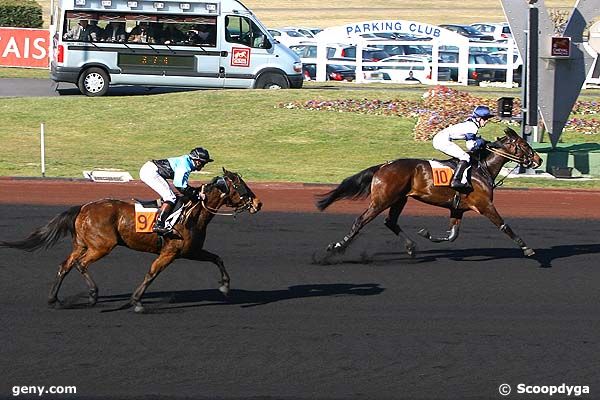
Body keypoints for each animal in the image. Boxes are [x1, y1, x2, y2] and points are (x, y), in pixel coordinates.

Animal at [0, 167, 262, 310]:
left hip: (82, 244)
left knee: (64, 265)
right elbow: (152, 273)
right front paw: (136, 301)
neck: (192, 213)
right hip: (101, 246)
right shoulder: (170, 252)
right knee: (80, 264)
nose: (258, 203)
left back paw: (54, 298)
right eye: (240, 185)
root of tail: (83, 207)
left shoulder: (191, 251)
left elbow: (217, 258)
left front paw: (225, 286)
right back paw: (93, 295)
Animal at [314, 128, 544, 260]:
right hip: (382, 200)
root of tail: (383, 166)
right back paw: (337, 247)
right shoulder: (485, 205)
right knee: (360, 221)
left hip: (399, 199)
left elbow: (452, 235)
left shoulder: (458, 209)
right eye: (524, 145)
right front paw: (527, 248)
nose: (539, 160)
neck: (481, 169)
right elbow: (504, 226)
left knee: (390, 222)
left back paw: (411, 246)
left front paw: (426, 234)